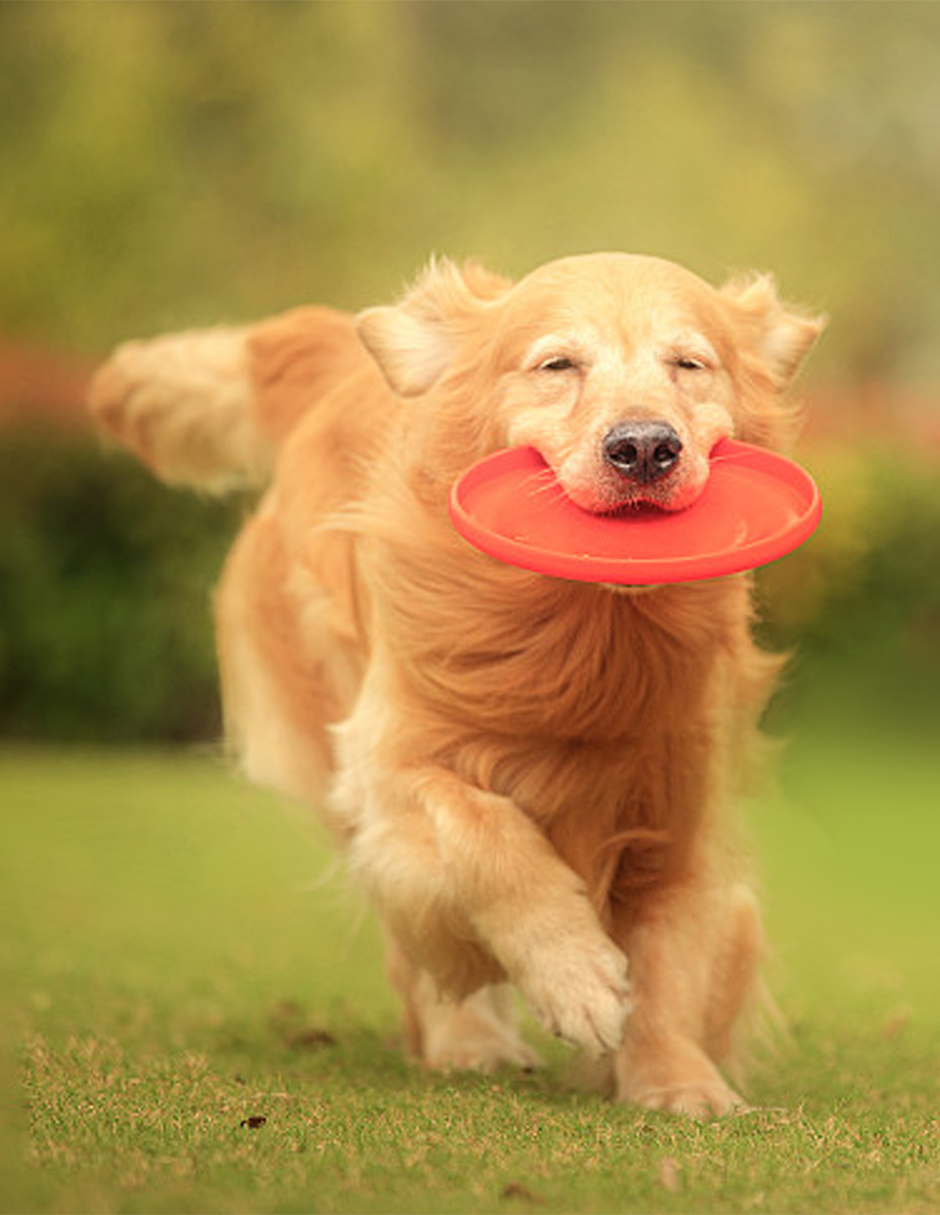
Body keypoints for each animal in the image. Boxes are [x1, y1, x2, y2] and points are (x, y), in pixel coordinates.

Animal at [88, 251, 825, 1112]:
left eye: (689, 364)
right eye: (558, 365)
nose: (645, 446)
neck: (587, 637)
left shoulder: (679, 809)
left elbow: (673, 951)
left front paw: (679, 1083)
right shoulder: (390, 765)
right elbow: (484, 831)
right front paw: (576, 975)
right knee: (420, 945)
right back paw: (467, 1039)